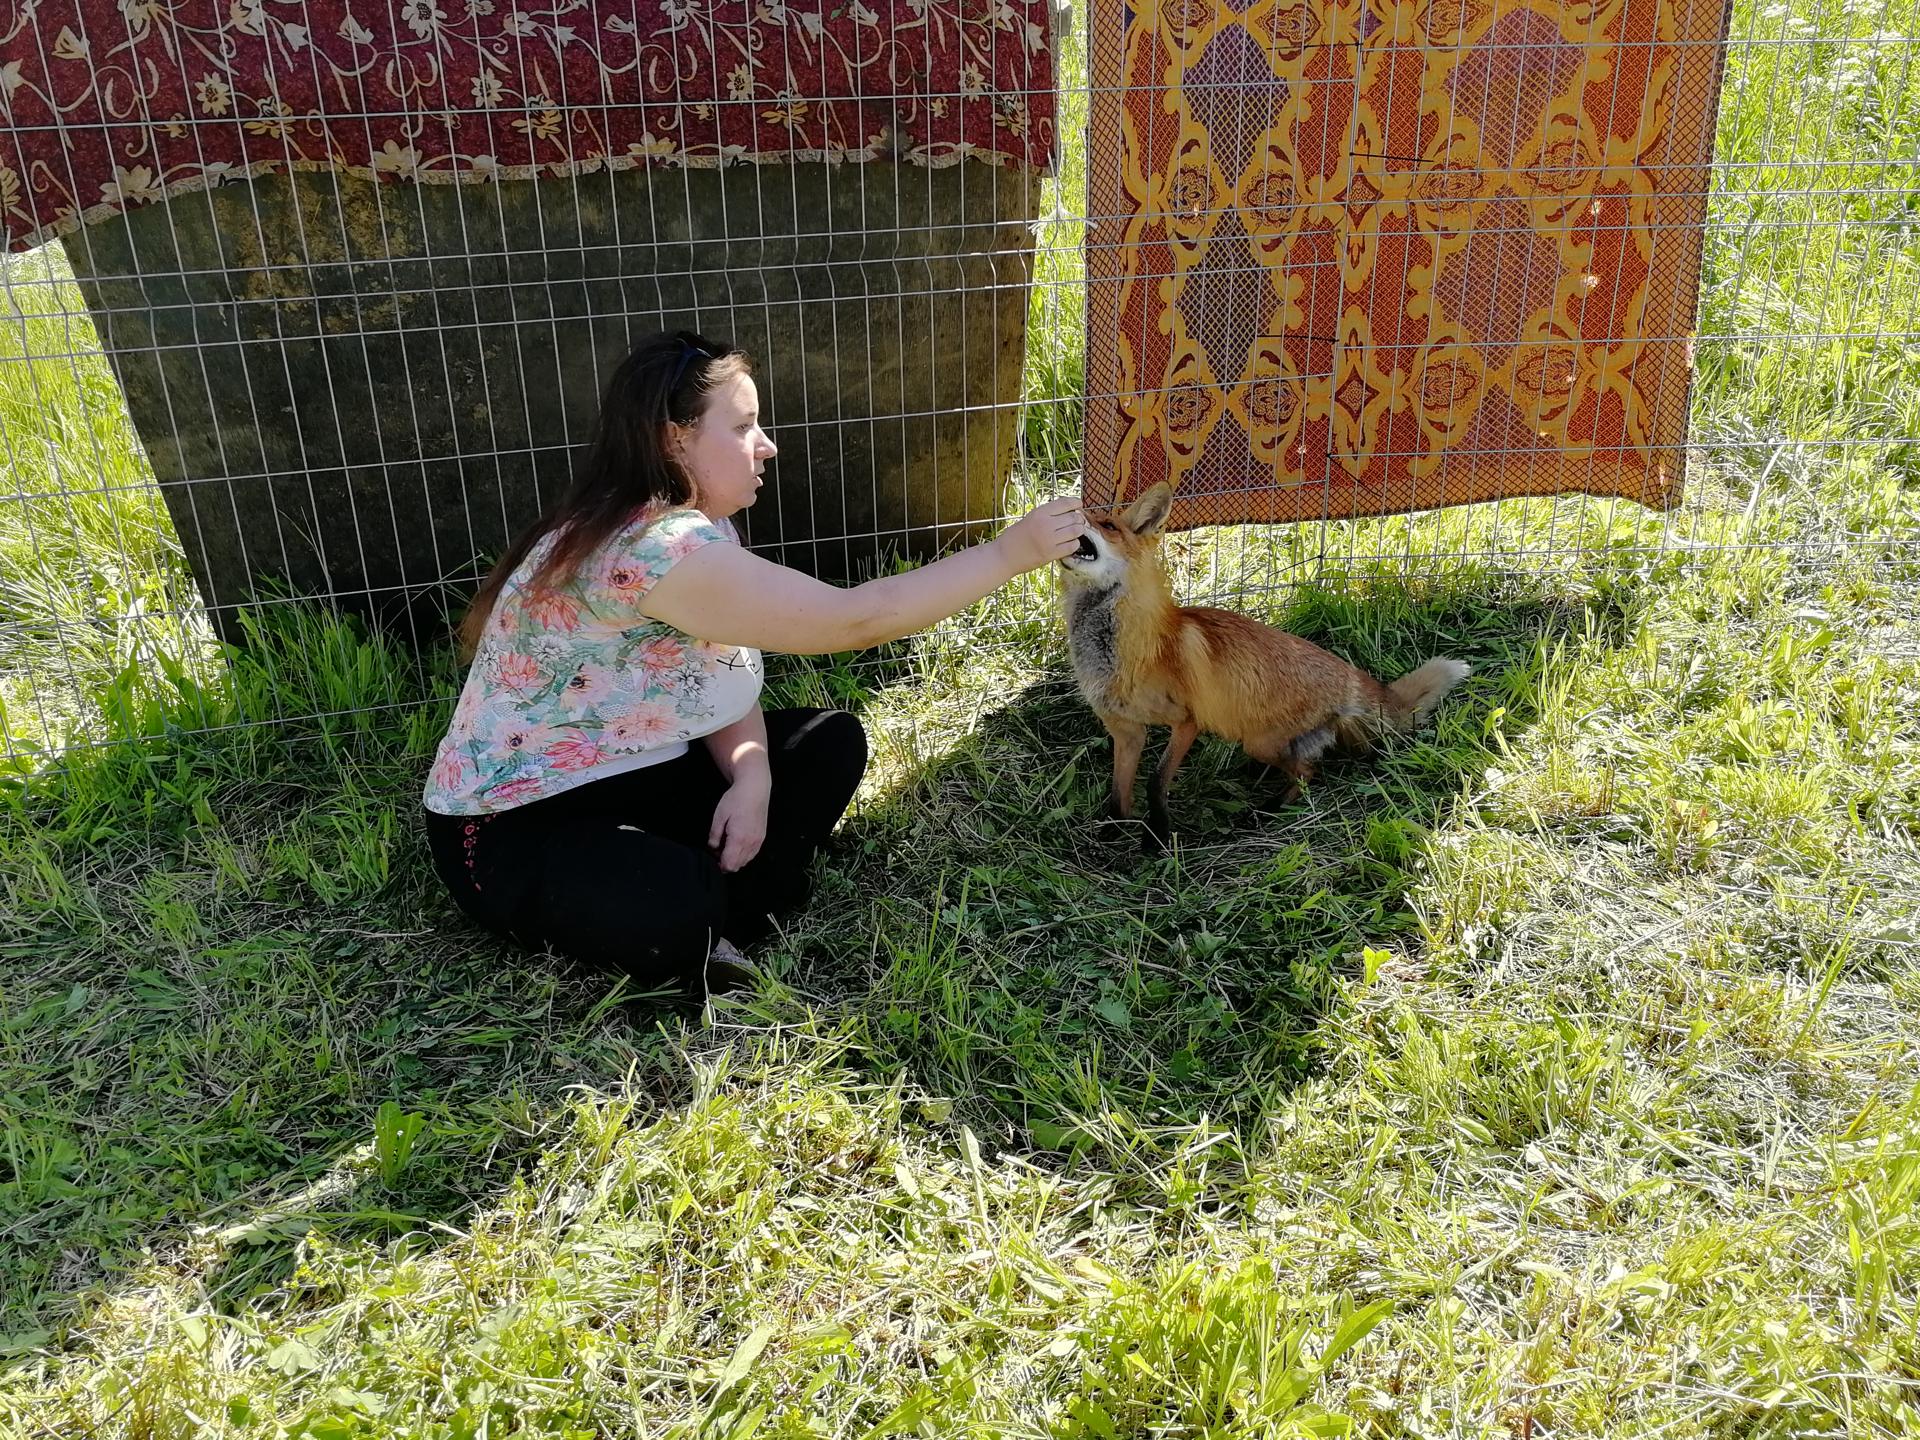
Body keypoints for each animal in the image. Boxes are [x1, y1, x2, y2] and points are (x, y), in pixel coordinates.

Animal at [1067, 485, 1466, 844]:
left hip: (1259, 742)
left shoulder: (1186, 722)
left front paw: (1158, 840)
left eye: (1108, 524)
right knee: (1309, 767)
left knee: (1308, 772)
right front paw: (1113, 831)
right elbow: (1119, 791)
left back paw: (1269, 810)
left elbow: (1155, 782)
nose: (1067, 508)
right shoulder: (1125, 730)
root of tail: (1349, 674)